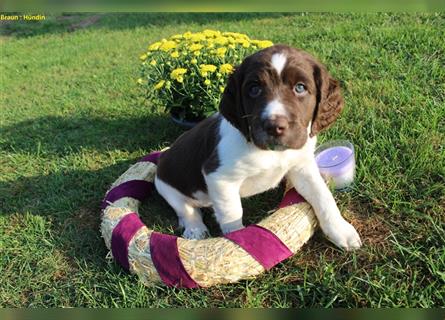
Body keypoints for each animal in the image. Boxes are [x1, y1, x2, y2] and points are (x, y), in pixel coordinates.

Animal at [155, 44, 360, 250]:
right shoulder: (219, 177)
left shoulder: (301, 166)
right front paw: (238, 243)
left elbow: (322, 195)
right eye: (254, 89)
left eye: (300, 87)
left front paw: (341, 231)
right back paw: (194, 229)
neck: (273, 152)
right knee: (186, 209)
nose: (274, 127)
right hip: (166, 186)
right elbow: (232, 215)